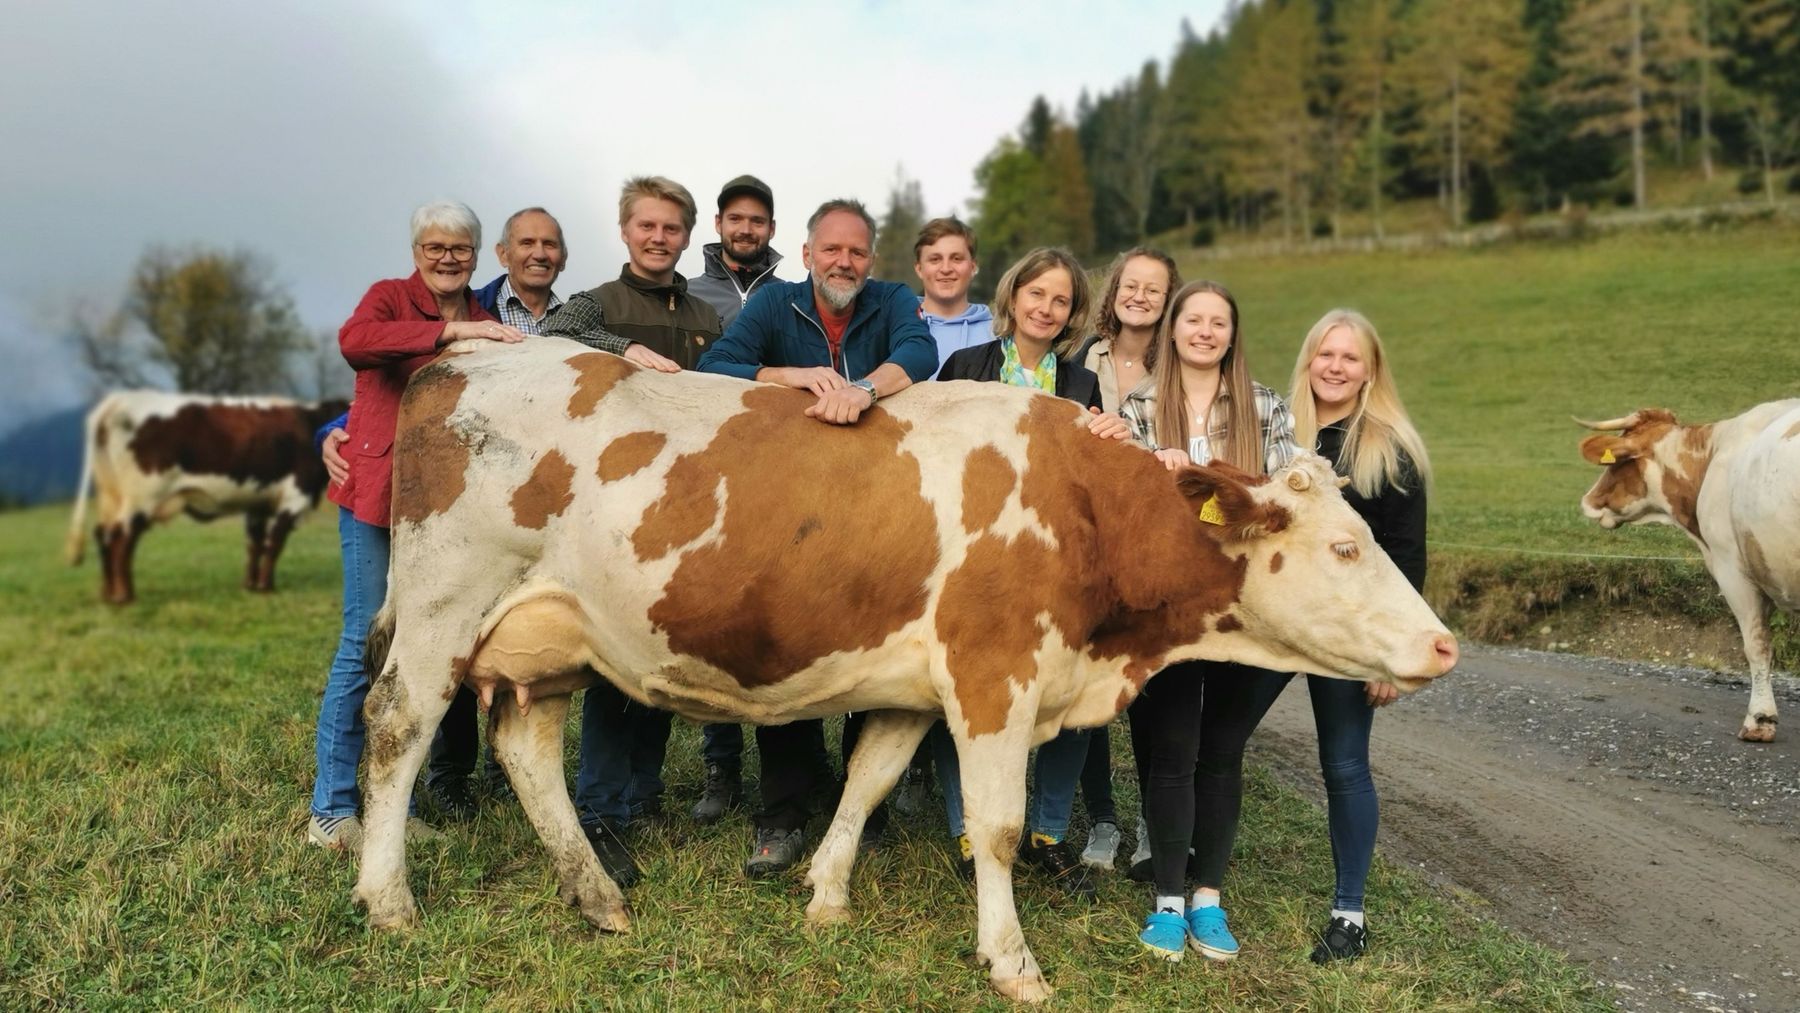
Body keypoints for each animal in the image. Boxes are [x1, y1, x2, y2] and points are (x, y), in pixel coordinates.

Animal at [63, 392, 347, 608]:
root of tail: (119, 399)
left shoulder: (257, 502)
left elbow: (254, 544)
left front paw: (250, 586)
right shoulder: (294, 496)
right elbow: (274, 545)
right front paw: (267, 587)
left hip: (112, 495)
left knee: (103, 534)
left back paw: (107, 594)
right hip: (141, 496)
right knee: (122, 539)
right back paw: (125, 596)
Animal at [351, 338, 1461, 1000]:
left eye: (1370, 529)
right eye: (1347, 547)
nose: (1445, 643)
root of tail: (471, 350)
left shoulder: (914, 687)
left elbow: (870, 777)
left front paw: (827, 895)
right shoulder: (994, 675)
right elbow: (1000, 829)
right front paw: (1013, 962)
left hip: (551, 639)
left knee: (527, 746)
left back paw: (598, 896)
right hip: (446, 605)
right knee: (398, 728)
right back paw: (389, 899)